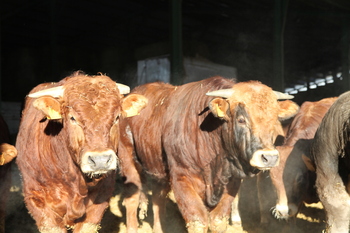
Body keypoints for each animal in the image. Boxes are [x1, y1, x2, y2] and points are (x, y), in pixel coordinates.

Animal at [118, 75, 298, 232]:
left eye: (274, 119)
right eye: (241, 120)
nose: (269, 158)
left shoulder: (231, 182)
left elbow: (218, 220)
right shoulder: (181, 179)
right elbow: (197, 220)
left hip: (158, 172)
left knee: (158, 200)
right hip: (128, 160)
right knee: (133, 198)